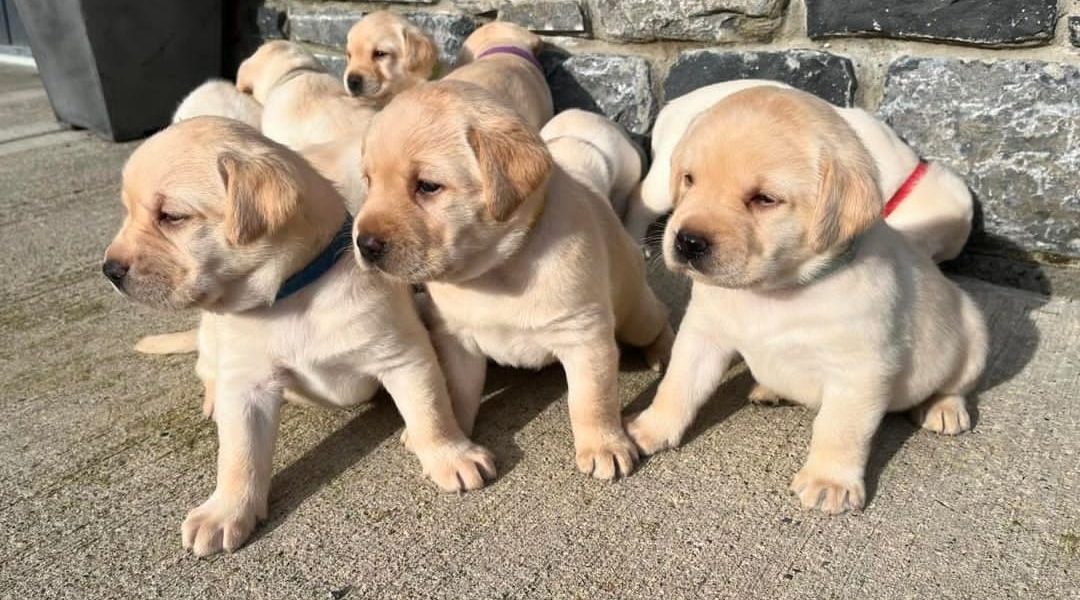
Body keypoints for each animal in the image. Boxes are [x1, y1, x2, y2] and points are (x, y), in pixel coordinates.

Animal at [99, 117, 494, 556]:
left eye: (171, 216)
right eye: (128, 211)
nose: (109, 270)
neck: (291, 296)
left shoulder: (403, 355)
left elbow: (430, 411)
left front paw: (450, 455)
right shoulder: (248, 385)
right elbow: (238, 454)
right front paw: (225, 510)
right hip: (214, 342)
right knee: (208, 371)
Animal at [349, 82, 669, 481]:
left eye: (427, 186)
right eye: (368, 182)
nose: (365, 244)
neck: (494, 270)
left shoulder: (585, 335)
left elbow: (591, 398)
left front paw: (604, 445)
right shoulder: (456, 340)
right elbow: (455, 392)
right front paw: (452, 445)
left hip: (635, 314)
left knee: (660, 316)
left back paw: (663, 351)